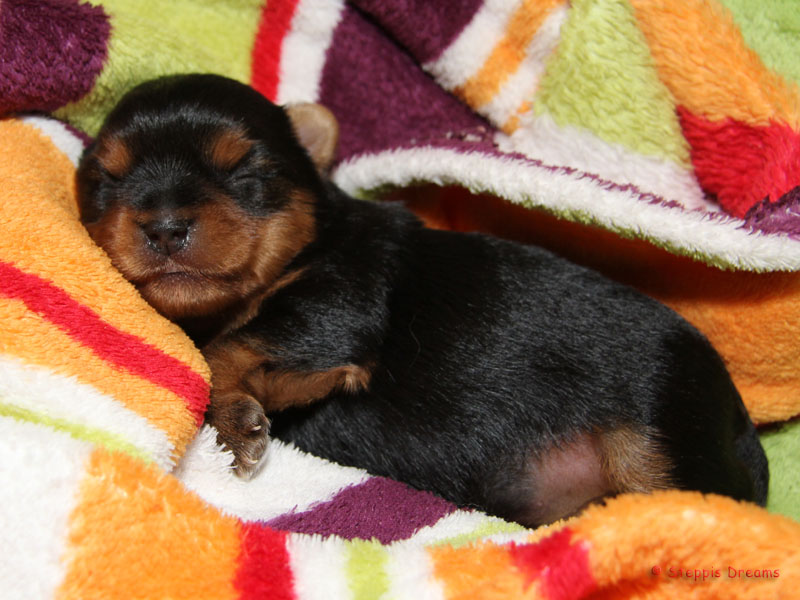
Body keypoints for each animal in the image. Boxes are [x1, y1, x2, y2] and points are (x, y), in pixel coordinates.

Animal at [77, 74, 768, 527]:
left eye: (244, 170)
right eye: (104, 179)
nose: (165, 226)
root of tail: (742, 429)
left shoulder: (345, 298)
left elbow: (229, 347)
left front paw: (238, 422)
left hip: (663, 430)